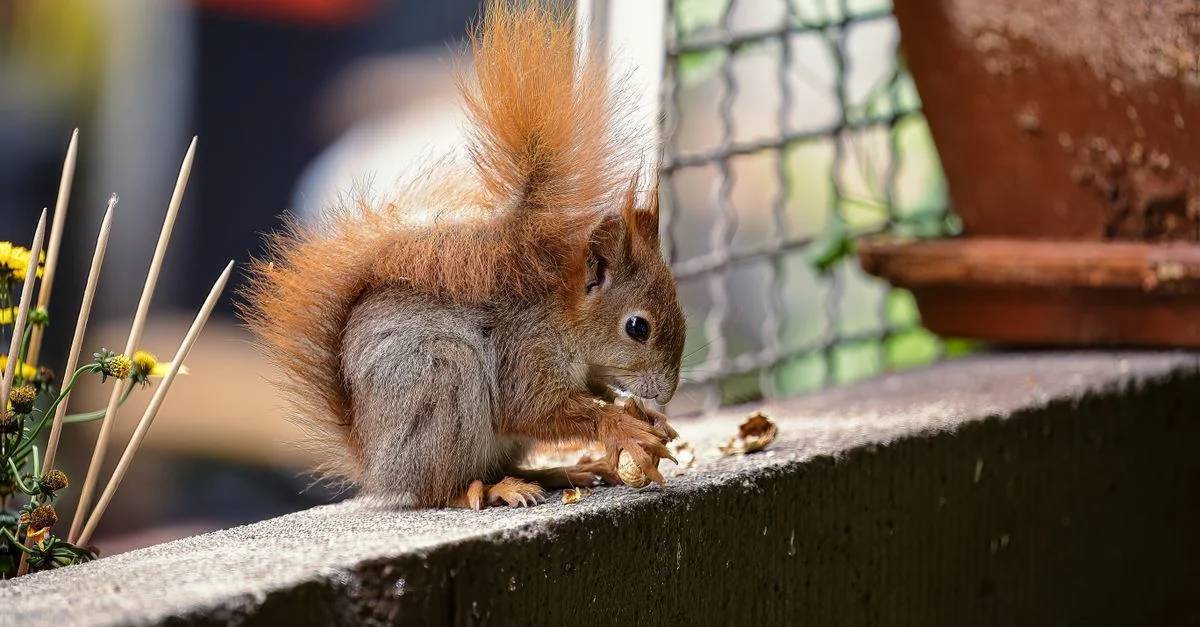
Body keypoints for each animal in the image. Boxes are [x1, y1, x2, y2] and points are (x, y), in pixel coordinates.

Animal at [239, 0, 686, 510]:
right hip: (445, 385)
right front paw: (620, 425)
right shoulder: (524, 353)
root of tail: (377, 467)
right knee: (443, 488)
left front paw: (644, 417)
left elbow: (591, 392)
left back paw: (561, 472)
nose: (667, 391)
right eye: (637, 327)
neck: (561, 317)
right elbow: (534, 409)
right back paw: (491, 488)